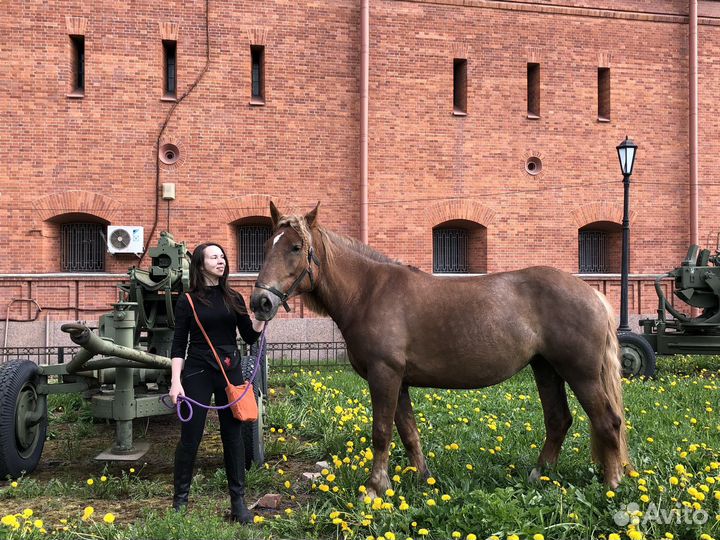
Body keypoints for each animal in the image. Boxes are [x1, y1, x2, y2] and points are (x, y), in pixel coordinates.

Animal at [250, 202, 630, 497]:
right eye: (267, 245)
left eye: (295, 247)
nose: (260, 302)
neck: (369, 291)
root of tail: (592, 293)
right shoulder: (399, 381)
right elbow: (408, 432)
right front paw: (422, 479)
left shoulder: (384, 375)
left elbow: (381, 431)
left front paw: (374, 488)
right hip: (546, 368)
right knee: (558, 420)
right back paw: (540, 476)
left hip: (580, 374)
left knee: (607, 421)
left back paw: (612, 484)